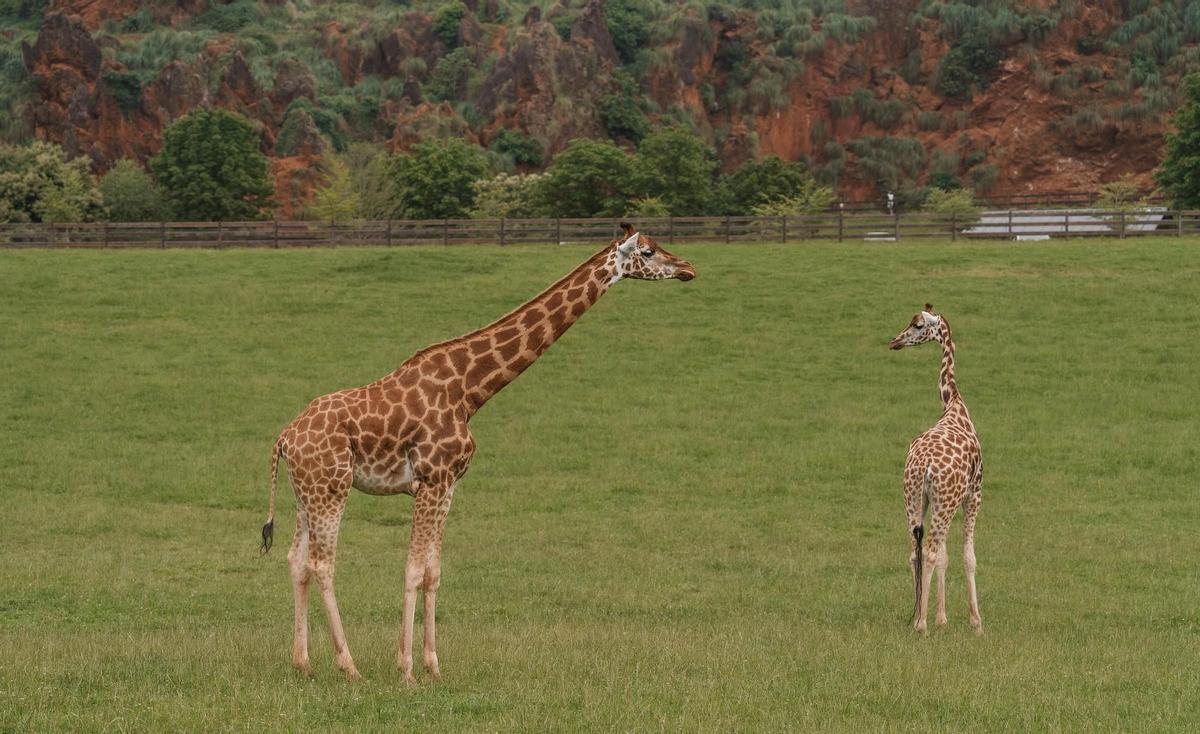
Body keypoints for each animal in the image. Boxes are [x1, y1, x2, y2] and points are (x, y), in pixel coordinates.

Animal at [258, 223, 700, 681]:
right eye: (647, 252)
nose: (689, 268)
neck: (470, 390)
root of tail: (284, 438)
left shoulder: (449, 484)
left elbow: (434, 572)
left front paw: (434, 666)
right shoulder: (431, 479)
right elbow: (413, 569)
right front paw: (406, 670)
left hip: (307, 493)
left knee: (296, 560)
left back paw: (303, 663)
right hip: (332, 489)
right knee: (322, 564)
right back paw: (350, 666)